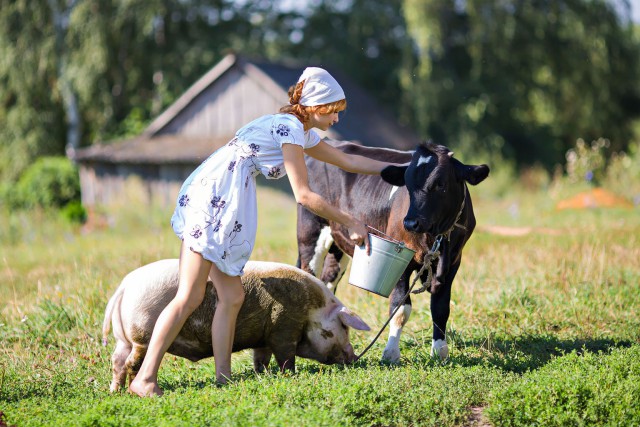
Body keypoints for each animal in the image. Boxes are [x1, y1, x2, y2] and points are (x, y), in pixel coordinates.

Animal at [102, 260, 368, 392]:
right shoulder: (284, 326)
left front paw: (263, 374)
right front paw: (289, 375)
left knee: (117, 361)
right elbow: (286, 357)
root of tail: (124, 287)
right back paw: (135, 389)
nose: (353, 357)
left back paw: (115, 391)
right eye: (343, 328)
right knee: (132, 362)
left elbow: (260, 358)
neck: (313, 309)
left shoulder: (264, 337)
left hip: (123, 340)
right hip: (142, 334)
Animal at [296, 140, 490, 362]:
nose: (411, 222)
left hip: (338, 245)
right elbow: (400, 309)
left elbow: (441, 308)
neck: (435, 238)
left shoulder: (453, 262)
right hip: (310, 232)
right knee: (309, 274)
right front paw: (391, 353)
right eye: (407, 183)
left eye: (440, 184)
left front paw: (440, 351)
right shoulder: (401, 263)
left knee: (328, 281)